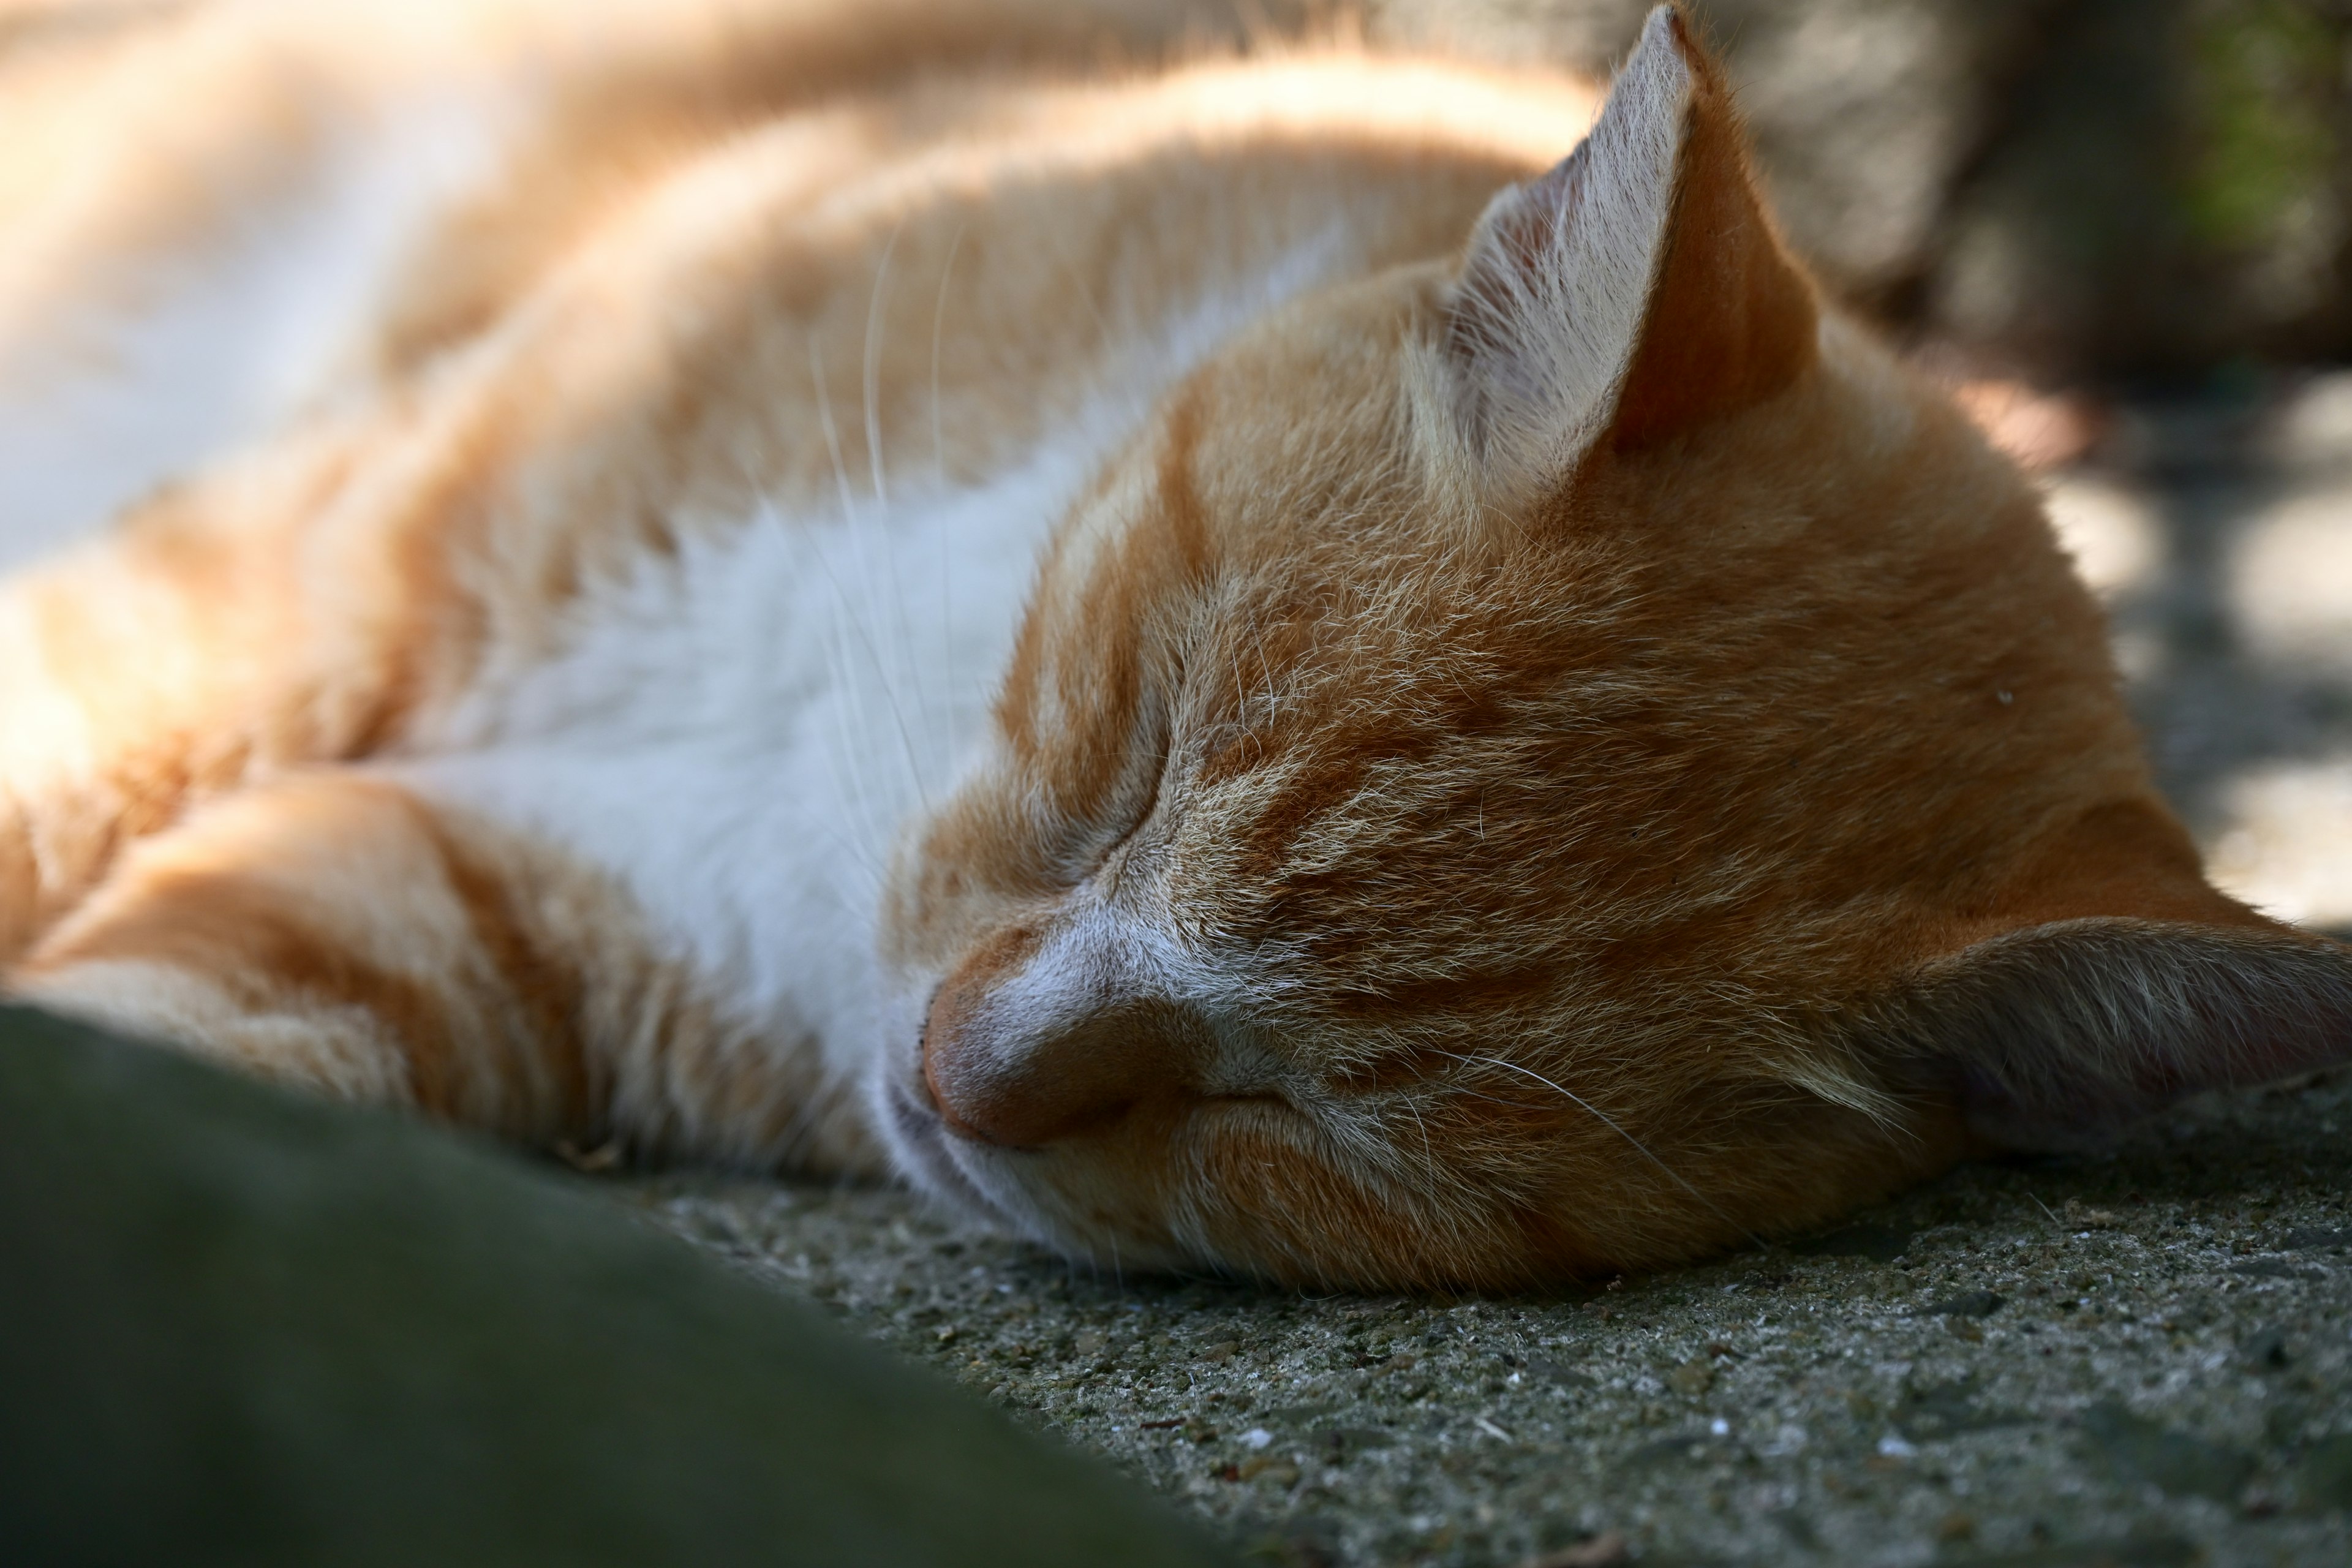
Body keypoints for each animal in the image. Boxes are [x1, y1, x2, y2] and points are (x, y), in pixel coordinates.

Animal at [4, 0, 2352, 1288]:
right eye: (1131, 751)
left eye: (1303, 1118)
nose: (957, 1069)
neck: (817, 778)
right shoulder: (311, 564)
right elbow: (65, 744)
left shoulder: (465, 894)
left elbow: (202, 1024)